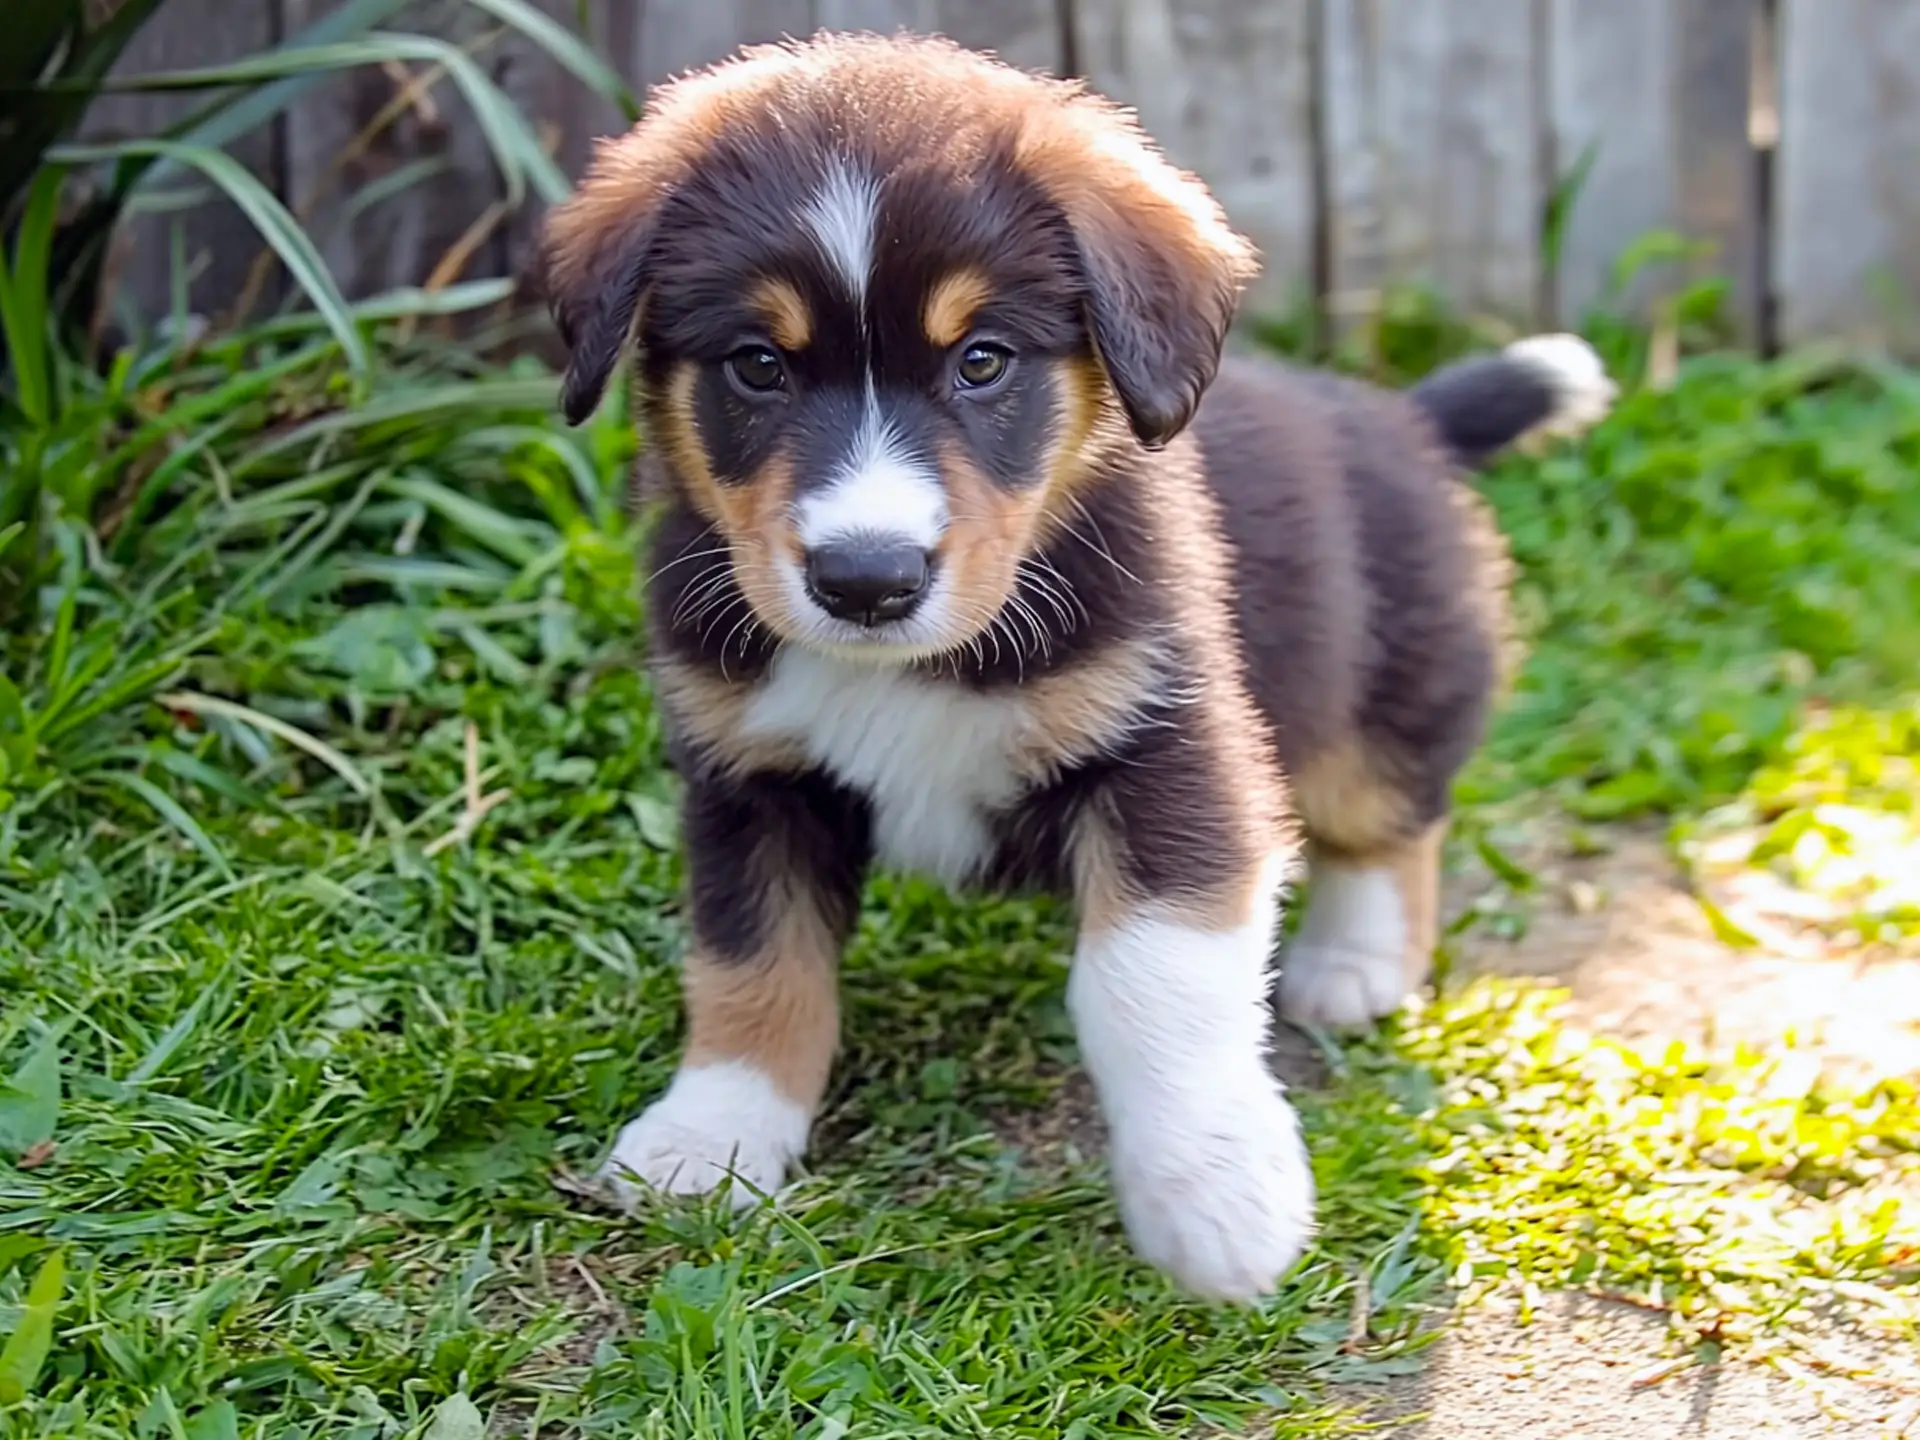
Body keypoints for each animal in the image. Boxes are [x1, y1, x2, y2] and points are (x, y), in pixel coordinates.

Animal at [537, 30, 1605, 1305]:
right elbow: (751, 961)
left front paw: (1215, 1194)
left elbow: (1154, 980)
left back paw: (1353, 961)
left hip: (1384, 696)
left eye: (983, 360)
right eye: (757, 365)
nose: (866, 579)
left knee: (1394, 820)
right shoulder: (747, 778)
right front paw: (714, 1131)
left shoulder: (1168, 748)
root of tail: (1406, 419)